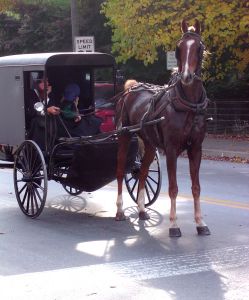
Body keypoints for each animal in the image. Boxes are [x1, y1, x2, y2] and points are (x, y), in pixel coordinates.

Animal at [114, 19, 210, 238]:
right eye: (179, 48)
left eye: (199, 48)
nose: (186, 76)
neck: (188, 106)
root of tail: (131, 88)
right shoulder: (172, 150)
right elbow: (173, 188)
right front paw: (174, 225)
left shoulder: (196, 148)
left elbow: (196, 187)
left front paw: (200, 223)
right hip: (124, 137)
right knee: (120, 171)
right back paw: (120, 210)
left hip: (149, 145)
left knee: (141, 173)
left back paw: (141, 210)